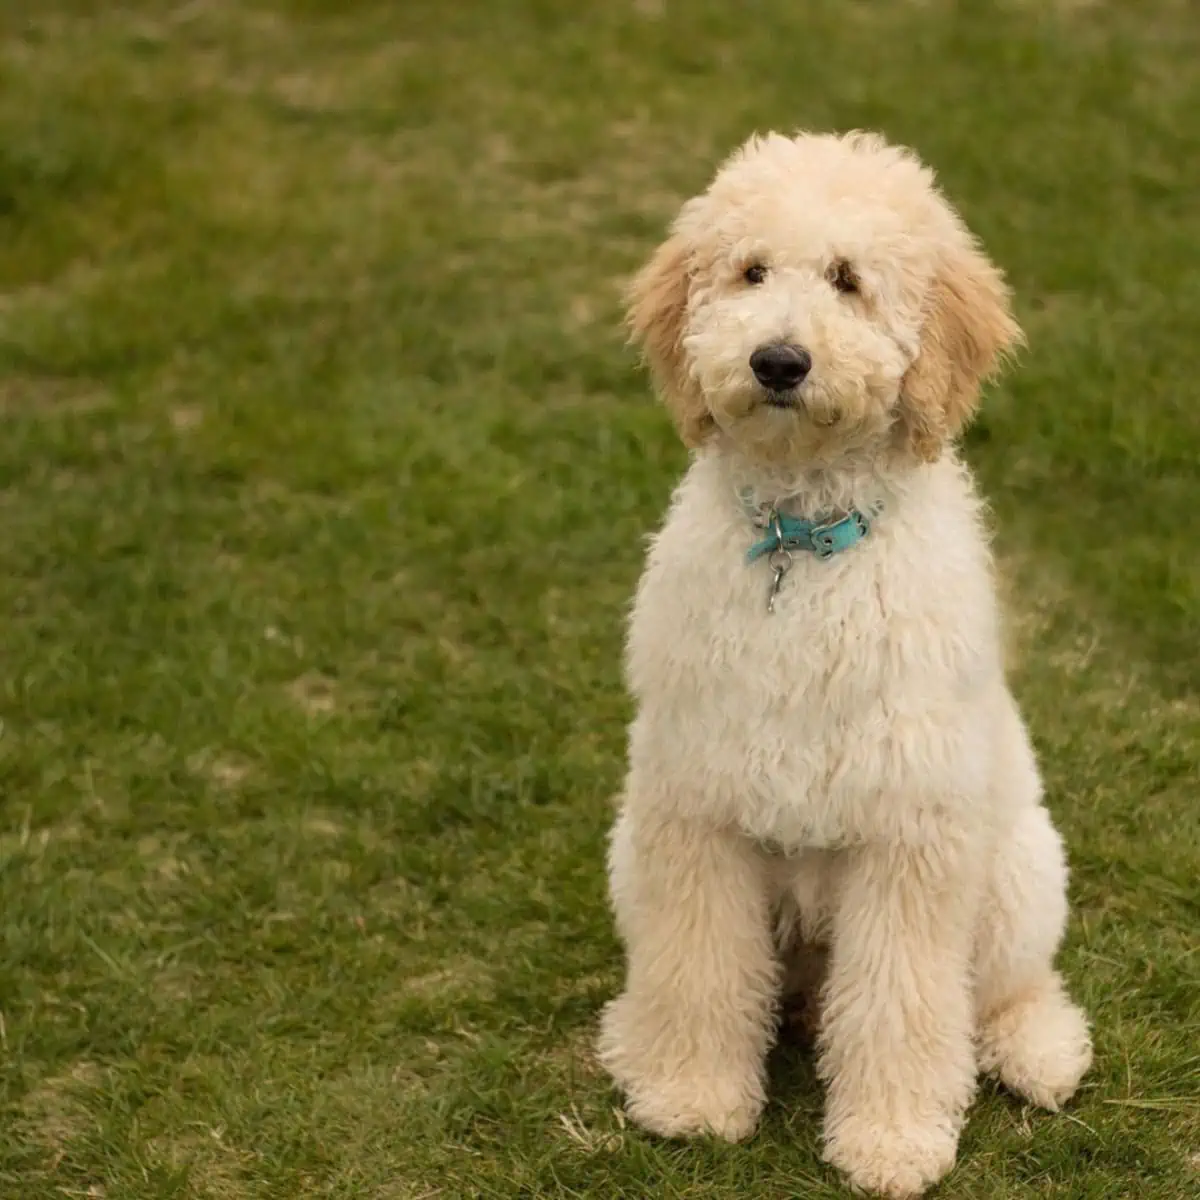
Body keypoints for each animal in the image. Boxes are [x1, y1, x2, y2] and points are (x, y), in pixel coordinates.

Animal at [595, 126, 1094, 1195]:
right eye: (750, 271)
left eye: (849, 280)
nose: (779, 361)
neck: (802, 542)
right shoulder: (696, 809)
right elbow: (698, 966)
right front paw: (691, 1096)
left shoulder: (910, 834)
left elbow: (904, 1001)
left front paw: (892, 1141)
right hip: (632, 848)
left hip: (1019, 872)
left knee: (1003, 989)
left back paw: (1039, 1052)